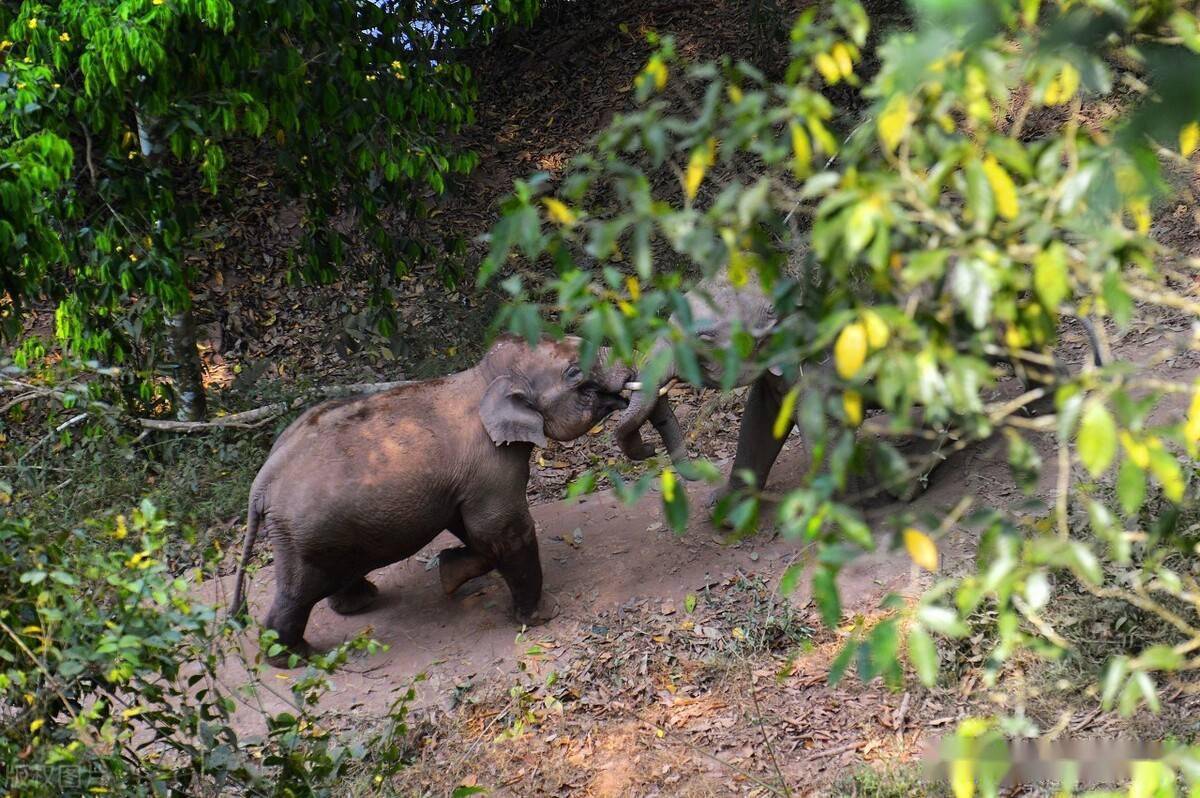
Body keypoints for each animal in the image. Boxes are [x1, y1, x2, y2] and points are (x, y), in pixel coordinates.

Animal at [228, 333, 633, 667]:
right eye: (574, 372)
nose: (628, 386)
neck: (482, 378)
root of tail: (263, 479)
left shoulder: (463, 483)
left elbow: (472, 530)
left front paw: (449, 573)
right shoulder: (490, 467)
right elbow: (503, 531)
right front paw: (541, 616)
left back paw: (360, 603)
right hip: (305, 535)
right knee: (300, 590)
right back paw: (297, 657)